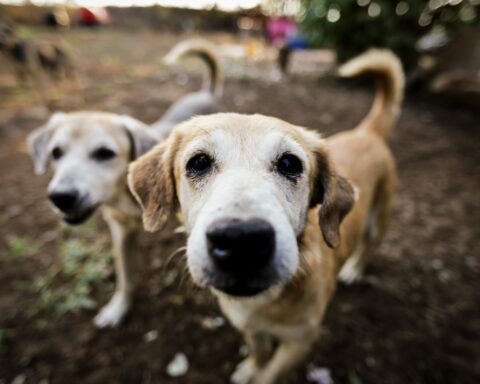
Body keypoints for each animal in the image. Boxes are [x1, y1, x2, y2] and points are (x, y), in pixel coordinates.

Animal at [28, 39, 225, 328]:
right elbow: (124, 275)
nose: (61, 196)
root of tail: (206, 92)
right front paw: (118, 307)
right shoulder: (120, 230)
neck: (128, 195)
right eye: (56, 153)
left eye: (104, 153)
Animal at [128, 49, 404, 382]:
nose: (241, 241)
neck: (263, 303)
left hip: (379, 220)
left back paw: (354, 268)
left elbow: (269, 375)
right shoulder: (250, 328)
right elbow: (259, 354)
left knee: (369, 246)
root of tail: (367, 133)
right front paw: (251, 367)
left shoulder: (301, 341)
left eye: (289, 163)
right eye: (199, 162)